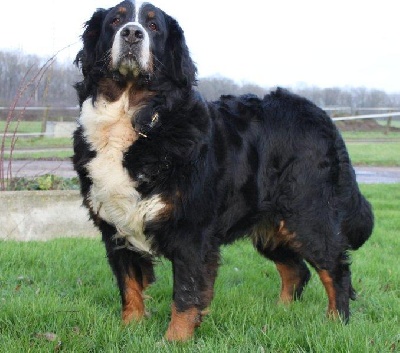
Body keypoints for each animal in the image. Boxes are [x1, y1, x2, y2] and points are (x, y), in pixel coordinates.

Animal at [72, 0, 376, 340]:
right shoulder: (115, 227)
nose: (132, 33)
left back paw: (336, 322)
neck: (136, 117)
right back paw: (280, 314)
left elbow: (186, 294)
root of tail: (321, 115)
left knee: (335, 268)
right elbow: (129, 286)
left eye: (152, 26)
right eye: (116, 20)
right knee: (296, 270)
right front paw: (130, 331)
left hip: (308, 213)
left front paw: (174, 340)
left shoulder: (191, 231)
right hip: (271, 227)